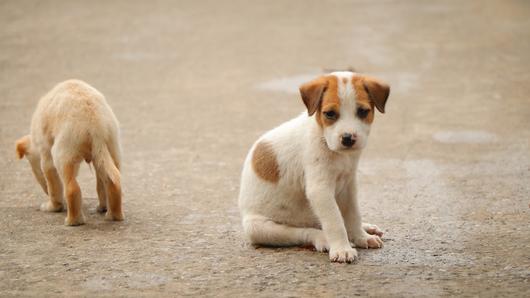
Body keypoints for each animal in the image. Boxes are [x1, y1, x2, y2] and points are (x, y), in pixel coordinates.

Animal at [15, 79, 122, 226]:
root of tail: (95, 125)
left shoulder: (46, 153)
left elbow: (53, 184)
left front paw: (52, 207)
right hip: (110, 145)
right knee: (110, 180)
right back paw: (111, 214)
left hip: (63, 149)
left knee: (71, 188)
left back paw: (73, 221)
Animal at [239, 72, 388, 264]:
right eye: (330, 114)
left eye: (362, 111)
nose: (348, 138)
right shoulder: (320, 190)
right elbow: (335, 222)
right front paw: (342, 248)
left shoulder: (348, 186)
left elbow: (353, 215)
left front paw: (361, 237)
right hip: (261, 228)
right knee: (307, 232)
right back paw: (324, 239)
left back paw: (367, 228)